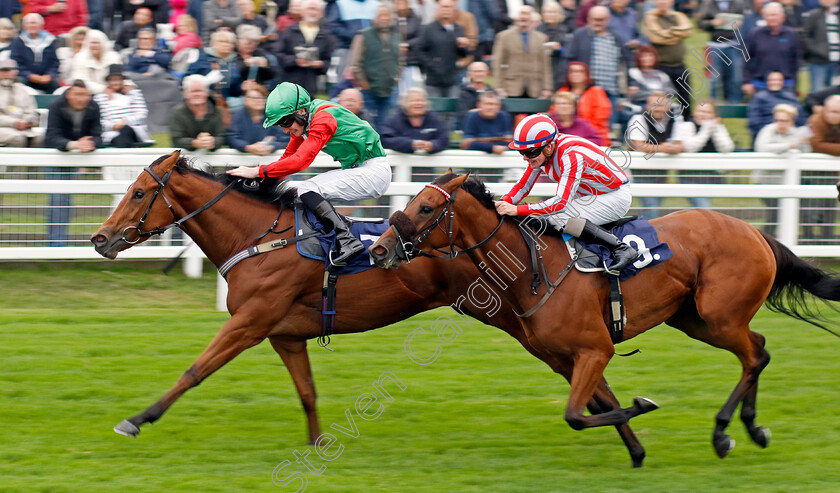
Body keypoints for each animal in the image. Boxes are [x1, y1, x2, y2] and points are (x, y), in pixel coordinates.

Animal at [88, 150, 648, 466]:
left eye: (138, 192)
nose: (100, 238)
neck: (259, 236)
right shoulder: (284, 333)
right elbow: (307, 393)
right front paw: (317, 448)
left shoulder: (251, 322)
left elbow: (194, 370)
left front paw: (137, 419)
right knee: (591, 378)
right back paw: (634, 440)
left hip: (520, 320)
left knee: (589, 370)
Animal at [372, 172, 840, 458]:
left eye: (426, 208)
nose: (379, 248)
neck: (532, 269)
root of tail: (756, 232)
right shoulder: (564, 358)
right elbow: (597, 407)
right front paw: (636, 448)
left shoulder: (595, 350)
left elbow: (577, 416)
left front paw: (644, 406)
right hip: (694, 320)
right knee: (757, 350)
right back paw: (752, 427)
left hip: (720, 316)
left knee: (753, 356)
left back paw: (724, 431)